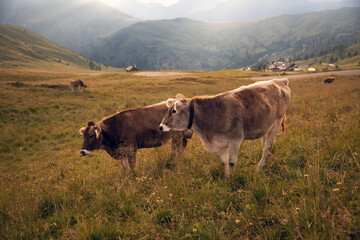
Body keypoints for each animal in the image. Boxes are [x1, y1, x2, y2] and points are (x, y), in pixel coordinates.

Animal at [159, 78, 292, 178]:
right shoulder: (220, 143)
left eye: (174, 111)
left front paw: (232, 180)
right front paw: (227, 179)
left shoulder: (235, 140)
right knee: (265, 145)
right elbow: (224, 162)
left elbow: (231, 162)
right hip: (265, 126)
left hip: (277, 121)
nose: (160, 126)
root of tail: (279, 80)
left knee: (268, 146)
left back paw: (259, 168)